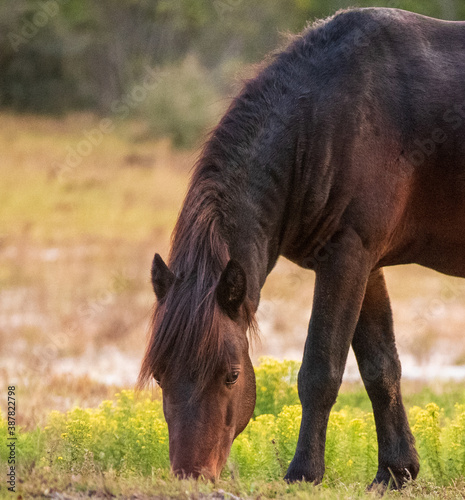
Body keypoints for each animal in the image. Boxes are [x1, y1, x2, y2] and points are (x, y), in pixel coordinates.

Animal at [139, 5, 465, 486]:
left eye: (232, 376)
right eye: (160, 375)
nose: (191, 476)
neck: (327, 120)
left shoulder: (347, 256)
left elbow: (320, 371)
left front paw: (304, 471)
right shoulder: (365, 264)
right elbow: (381, 368)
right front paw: (395, 471)